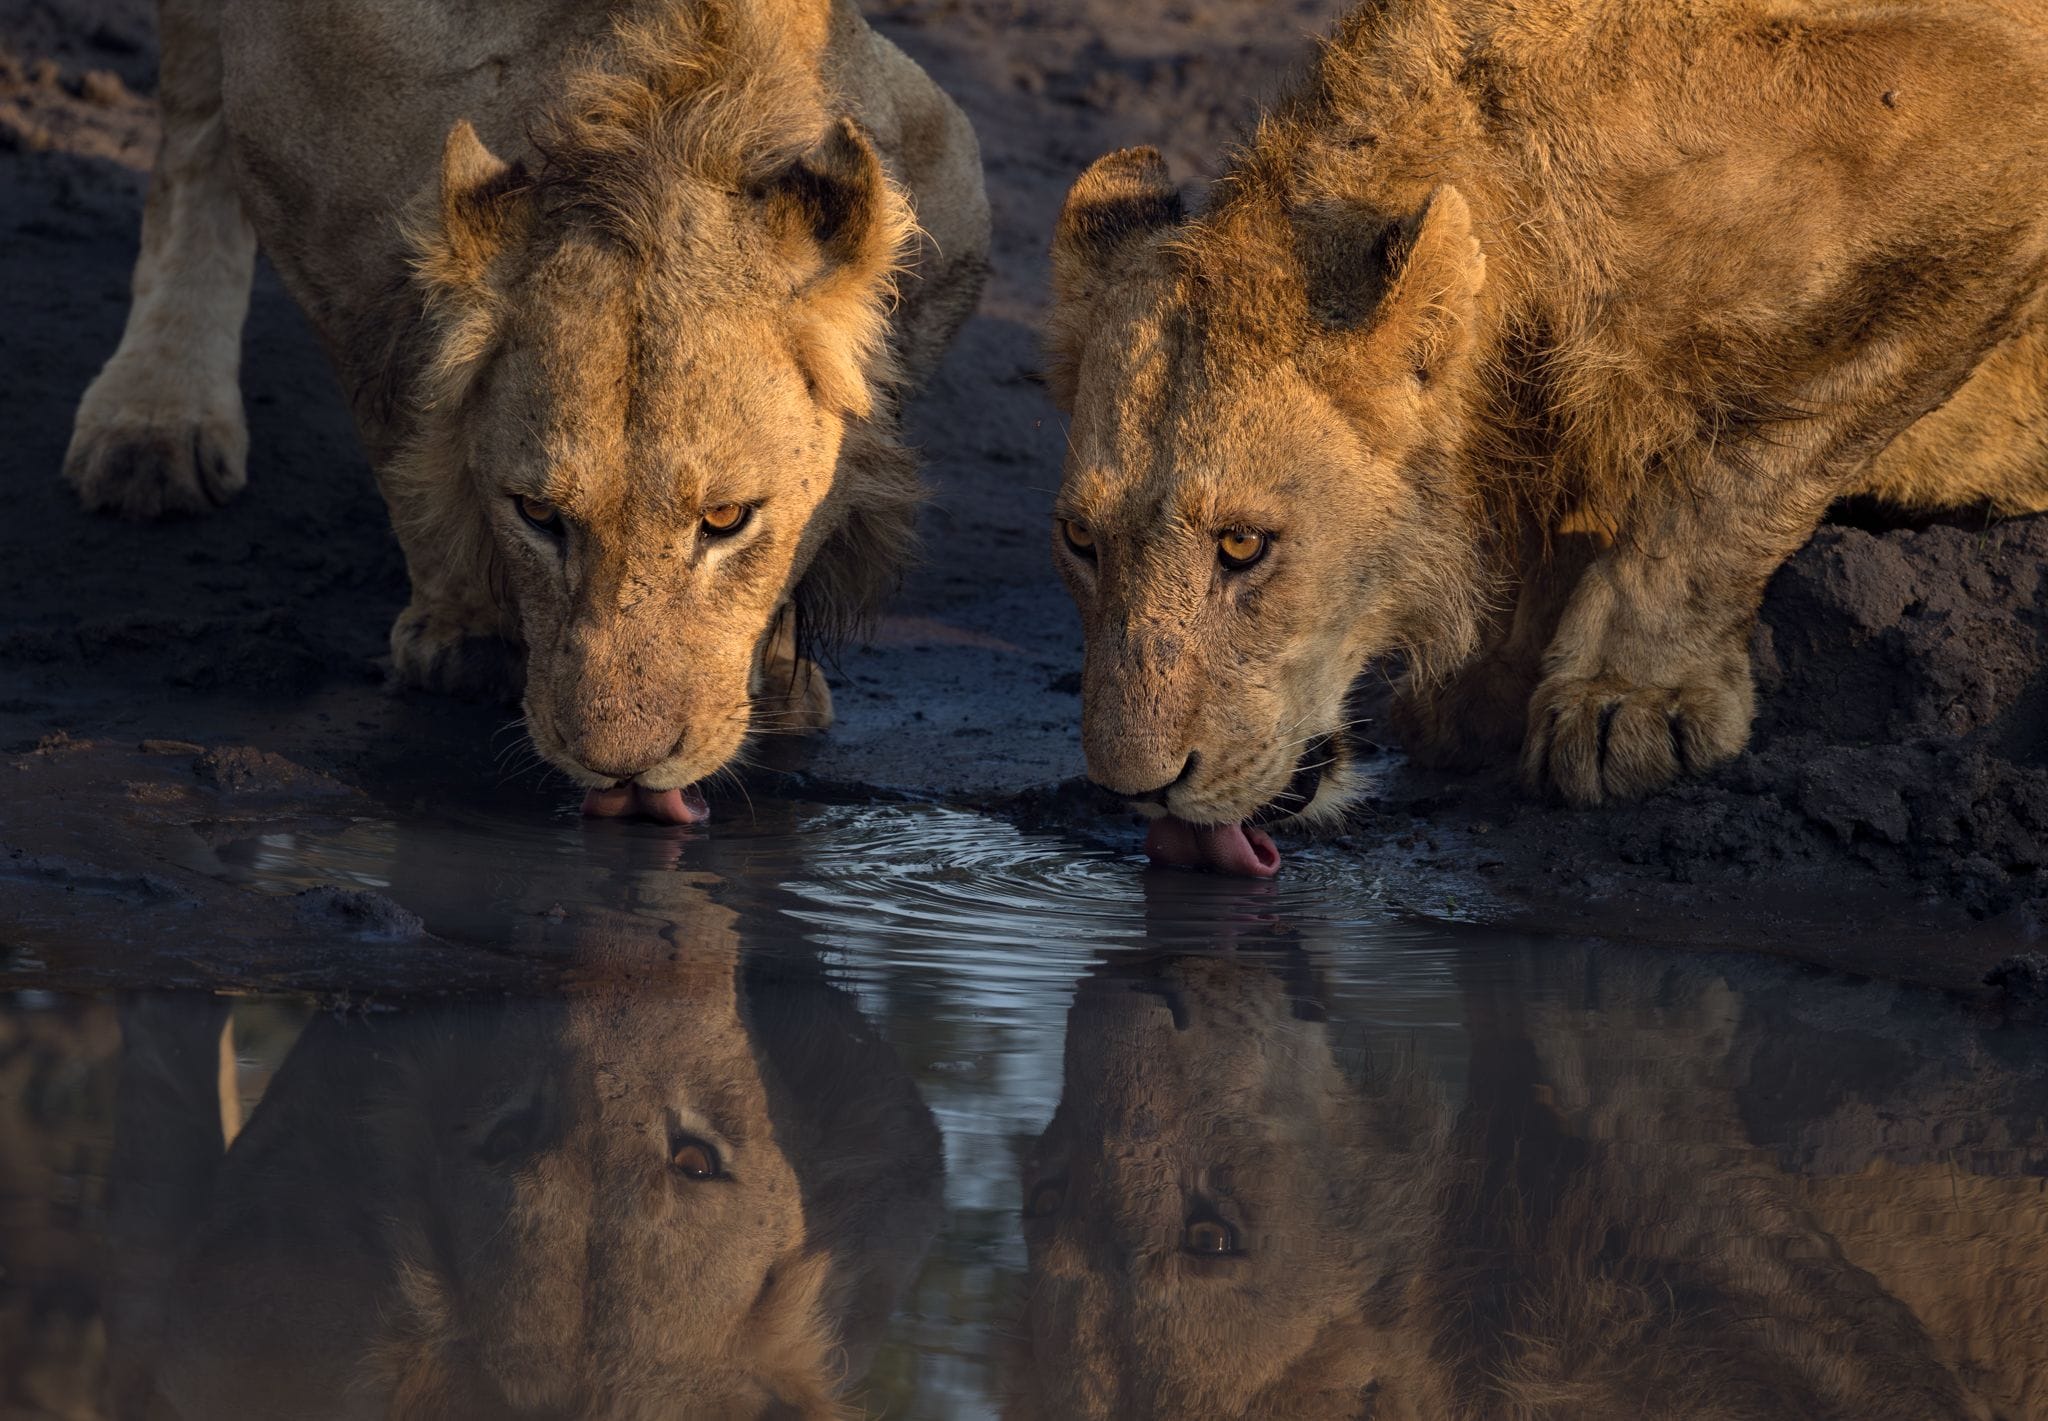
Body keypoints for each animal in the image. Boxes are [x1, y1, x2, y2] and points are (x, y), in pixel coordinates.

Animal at [65, 0, 988, 822]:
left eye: (727, 519)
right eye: (538, 514)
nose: (622, 772)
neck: (670, 107)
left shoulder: (946, 177)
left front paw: (783, 673)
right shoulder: (298, 154)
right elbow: (399, 419)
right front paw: (464, 635)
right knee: (191, 124)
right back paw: (154, 421)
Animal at [1046, 0, 2048, 873]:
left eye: (1244, 544)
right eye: (1081, 540)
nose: (1134, 789)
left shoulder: (1995, 144)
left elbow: (1751, 456)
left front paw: (1627, 698)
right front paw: (1492, 680)